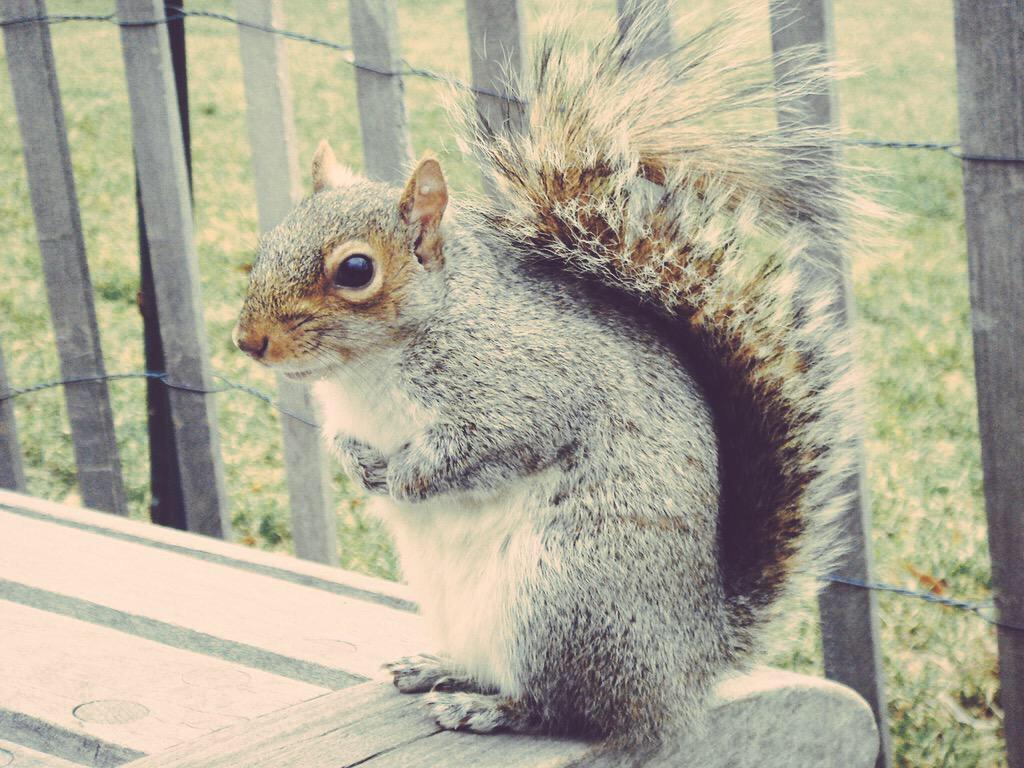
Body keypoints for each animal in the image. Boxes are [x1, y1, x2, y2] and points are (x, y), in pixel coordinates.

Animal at [234, 7, 856, 753]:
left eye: (356, 270)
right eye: (271, 240)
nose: (248, 341)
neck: (369, 373)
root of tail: (691, 658)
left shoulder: (528, 387)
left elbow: (488, 445)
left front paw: (409, 476)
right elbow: (343, 440)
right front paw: (359, 464)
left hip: (563, 600)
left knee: (566, 709)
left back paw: (487, 708)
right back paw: (440, 665)